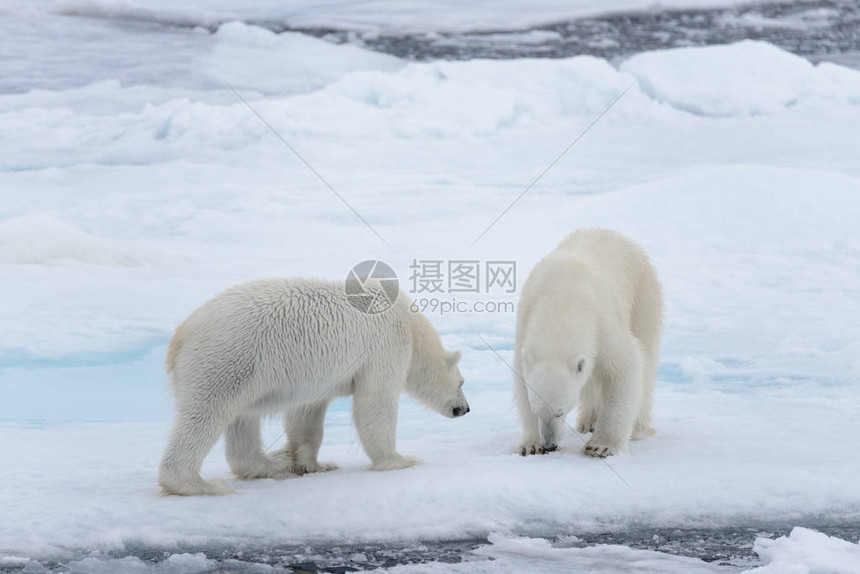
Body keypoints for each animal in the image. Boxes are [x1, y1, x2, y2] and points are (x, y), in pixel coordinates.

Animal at [160, 278, 470, 496]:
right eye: (462, 382)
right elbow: (375, 404)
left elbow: (306, 414)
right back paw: (199, 485)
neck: (411, 325)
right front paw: (401, 460)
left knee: (243, 417)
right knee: (207, 414)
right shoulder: (385, 346)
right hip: (228, 359)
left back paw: (269, 465)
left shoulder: (314, 377)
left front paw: (314, 465)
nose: (464, 409)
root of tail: (180, 336)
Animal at [512, 230, 660, 460]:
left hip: (643, 296)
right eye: (537, 410)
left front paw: (602, 446)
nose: (549, 445)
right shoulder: (525, 324)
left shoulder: (603, 323)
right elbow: (521, 380)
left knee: (647, 361)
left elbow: (625, 367)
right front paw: (530, 445)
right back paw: (588, 421)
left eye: (560, 411)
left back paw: (637, 428)